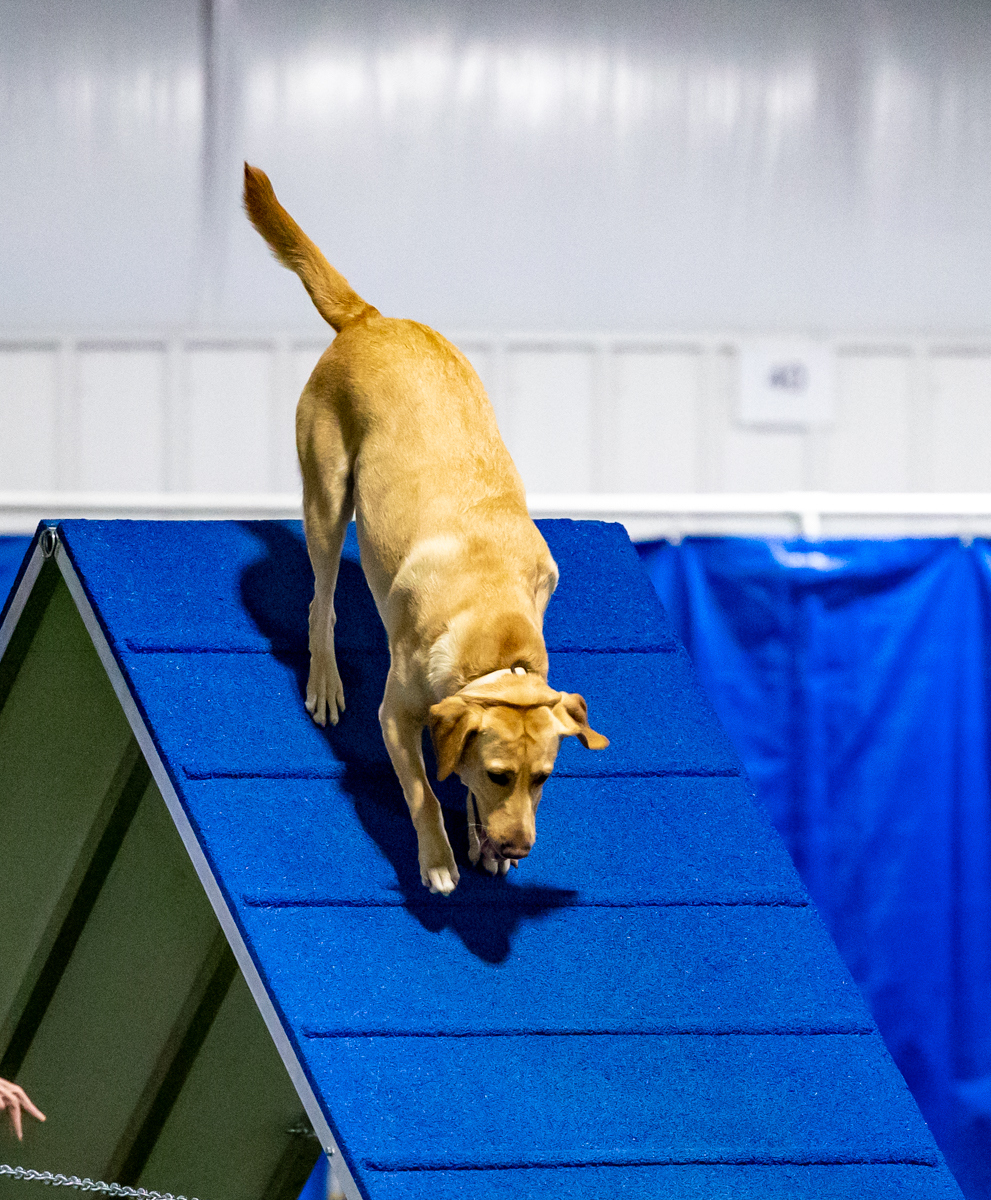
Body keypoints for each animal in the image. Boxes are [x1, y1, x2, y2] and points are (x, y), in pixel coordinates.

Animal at [243, 164, 608, 894]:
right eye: (500, 773)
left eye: (542, 779)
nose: (519, 847)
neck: (493, 630)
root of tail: (370, 319)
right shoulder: (397, 715)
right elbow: (420, 792)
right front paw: (439, 858)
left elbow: (450, 777)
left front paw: (480, 842)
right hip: (327, 498)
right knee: (320, 599)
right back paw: (325, 681)